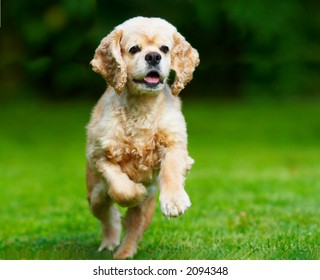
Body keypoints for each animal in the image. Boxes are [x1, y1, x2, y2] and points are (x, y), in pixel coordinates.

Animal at [86, 16, 199, 260]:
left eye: (164, 49)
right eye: (134, 49)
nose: (153, 56)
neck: (142, 105)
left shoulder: (175, 144)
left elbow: (170, 170)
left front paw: (174, 201)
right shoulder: (98, 154)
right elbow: (120, 186)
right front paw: (135, 190)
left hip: (145, 209)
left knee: (134, 228)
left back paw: (124, 253)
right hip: (94, 194)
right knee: (108, 214)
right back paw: (110, 243)